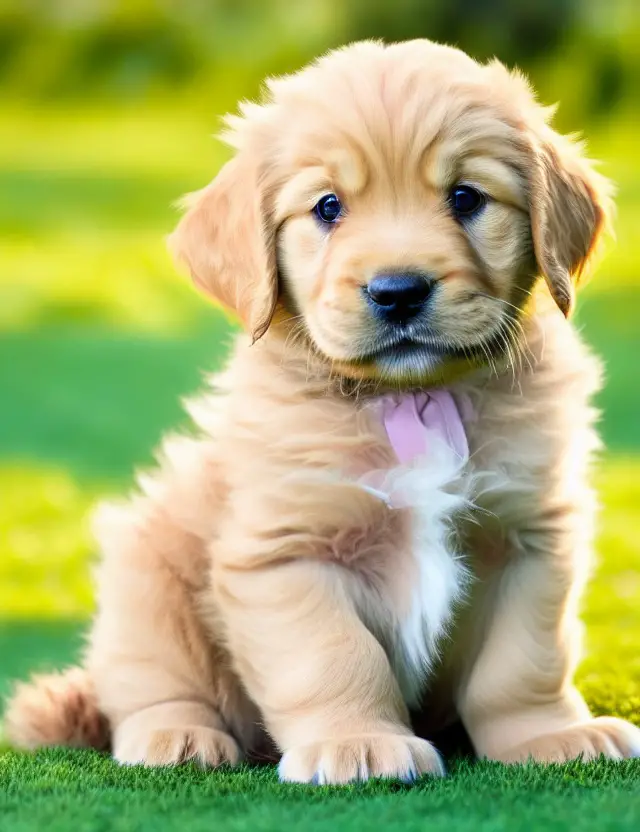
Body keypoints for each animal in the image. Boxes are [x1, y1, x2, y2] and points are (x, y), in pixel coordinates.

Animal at [6, 37, 640, 780]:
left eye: (466, 197)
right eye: (328, 208)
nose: (398, 291)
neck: (410, 398)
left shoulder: (529, 540)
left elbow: (523, 665)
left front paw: (549, 736)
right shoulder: (286, 554)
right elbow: (335, 657)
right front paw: (356, 742)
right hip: (146, 574)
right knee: (147, 683)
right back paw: (177, 736)